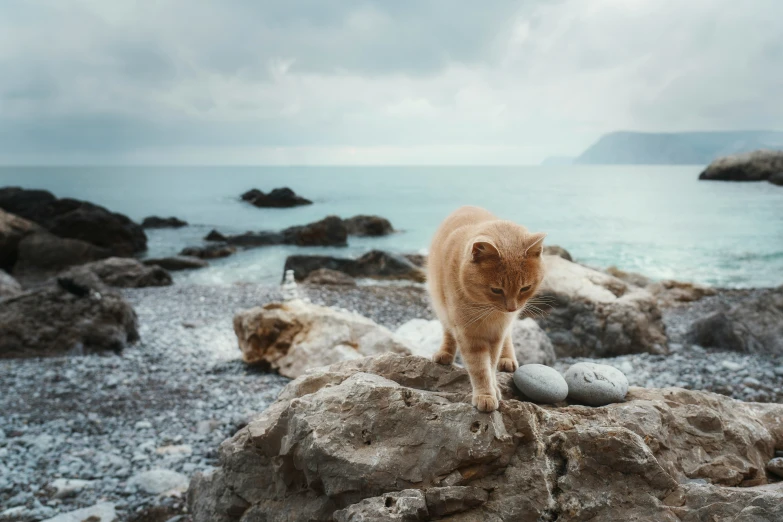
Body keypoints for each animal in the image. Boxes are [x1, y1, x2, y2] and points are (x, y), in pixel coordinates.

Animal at [428, 204, 544, 410]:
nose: (512, 308)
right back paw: (445, 354)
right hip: (441, 305)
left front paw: (492, 389)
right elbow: (479, 367)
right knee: (448, 331)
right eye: (496, 290)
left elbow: (490, 364)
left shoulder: (496, 333)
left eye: (525, 288)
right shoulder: (468, 334)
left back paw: (507, 359)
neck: (487, 311)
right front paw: (485, 394)